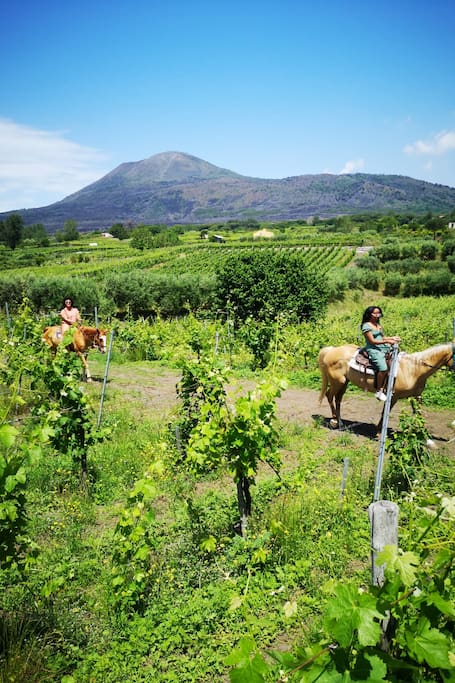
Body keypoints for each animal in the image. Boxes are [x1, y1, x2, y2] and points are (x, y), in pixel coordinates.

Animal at [318, 341, 455, 432]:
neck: (413, 369)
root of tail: (331, 350)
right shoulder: (393, 396)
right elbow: (385, 412)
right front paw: (379, 430)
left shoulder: (416, 396)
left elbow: (419, 413)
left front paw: (421, 433)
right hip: (338, 382)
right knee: (329, 396)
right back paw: (334, 421)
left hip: (344, 383)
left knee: (338, 399)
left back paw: (341, 422)